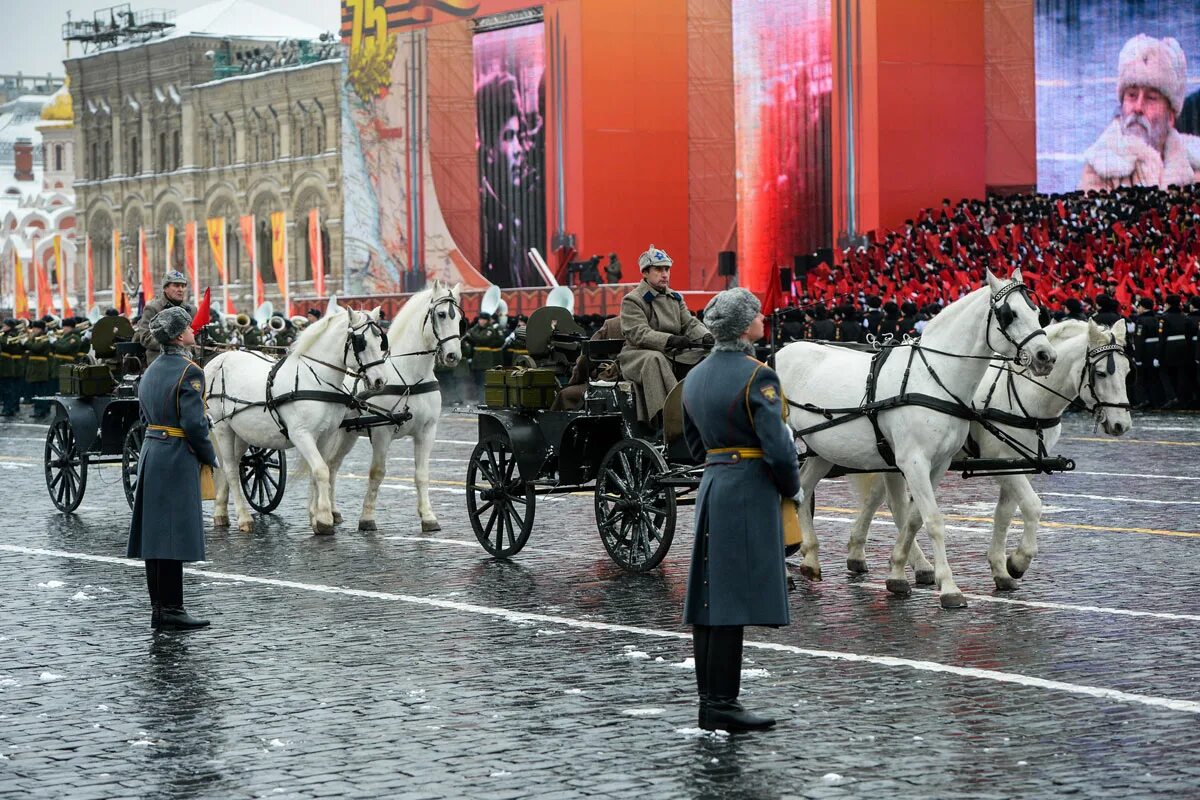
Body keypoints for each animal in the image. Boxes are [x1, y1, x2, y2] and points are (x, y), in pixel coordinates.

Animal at [205, 297, 388, 534]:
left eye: (381, 340)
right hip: (222, 428)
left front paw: (316, 517)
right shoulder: (301, 434)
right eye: (360, 342)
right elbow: (321, 470)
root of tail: (218, 358)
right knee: (230, 469)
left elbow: (317, 471)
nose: (380, 381)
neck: (315, 380)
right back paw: (244, 518)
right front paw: (325, 519)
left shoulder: (326, 435)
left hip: (243, 433)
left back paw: (220, 511)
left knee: (234, 465)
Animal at [324, 280, 463, 532]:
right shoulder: (382, 432)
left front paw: (428, 517)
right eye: (440, 314)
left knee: (332, 465)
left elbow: (422, 475)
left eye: (459, 317)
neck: (410, 376)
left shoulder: (427, 431)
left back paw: (333, 511)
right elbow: (377, 473)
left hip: (347, 433)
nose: (452, 355)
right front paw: (367, 518)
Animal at [772, 272, 1056, 609]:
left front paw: (898, 573)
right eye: (1008, 314)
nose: (1046, 357)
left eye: (1038, 312)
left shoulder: (938, 464)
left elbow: (914, 518)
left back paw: (811, 560)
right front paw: (949, 587)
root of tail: (776, 354)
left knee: (801, 491)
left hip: (821, 449)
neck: (933, 378)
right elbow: (933, 520)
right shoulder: (914, 461)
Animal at [840, 316, 1128, 587]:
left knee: (881, 499)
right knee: (895, 503)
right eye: (1101, 372)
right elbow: (1032, 506)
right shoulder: (1000, 461)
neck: (1027, 395)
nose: (1121, 425)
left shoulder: (1019, 465)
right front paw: (1018, 561)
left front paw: (1000, 568)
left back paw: (867, 555)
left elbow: (1004, 515)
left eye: (1127, 371)